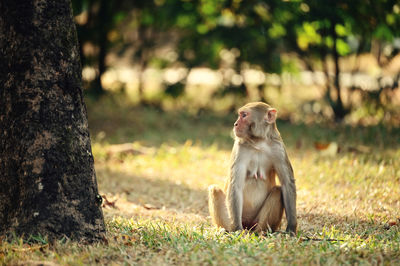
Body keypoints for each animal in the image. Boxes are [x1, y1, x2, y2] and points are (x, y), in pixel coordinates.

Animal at [209, 102, 296, 235]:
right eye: (240, 114)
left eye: (244, 115)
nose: (235, 124)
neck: (258, 142)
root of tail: (248, 225)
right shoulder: (240, 147)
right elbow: (235, 185)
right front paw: (237, 230)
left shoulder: (278, 147)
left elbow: (287, 184)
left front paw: (291, 229)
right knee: (214, 190)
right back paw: (226, 230)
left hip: (256, 221)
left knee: (277, 191)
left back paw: (261, 233)